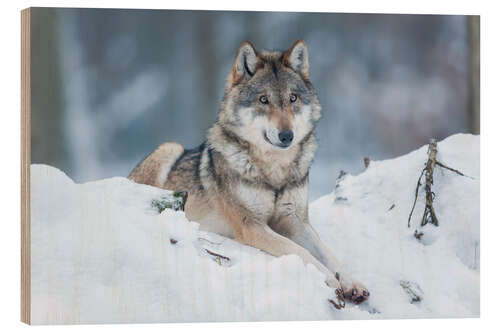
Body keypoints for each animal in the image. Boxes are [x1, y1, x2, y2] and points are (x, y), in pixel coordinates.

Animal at [130, 39, 372, 306]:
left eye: (293, 98)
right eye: (263, 100)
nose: (287, 135)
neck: (274, 173)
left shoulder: (296, 221)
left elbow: (329, 254)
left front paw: (352, 283)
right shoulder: (252, 226)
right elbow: (301, 252)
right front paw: (329, 279)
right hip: (169, 147)